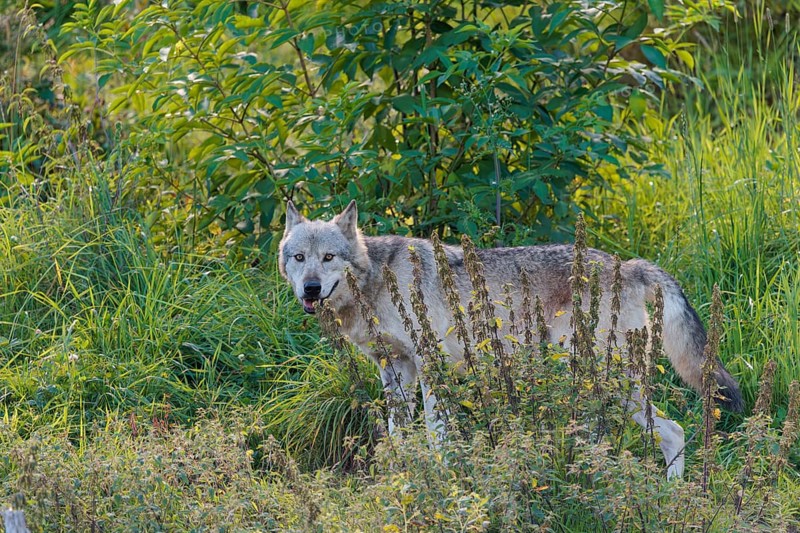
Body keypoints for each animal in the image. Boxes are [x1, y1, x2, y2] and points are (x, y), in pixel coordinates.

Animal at [279, 200, 743, 479]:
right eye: (299, 258)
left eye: (328, 257)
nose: (311, 289)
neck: (376, 281)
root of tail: (627, 265)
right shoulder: (395, 371)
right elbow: (397, 436)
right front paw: (401, 478)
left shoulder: (429, 366)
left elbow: (435, 434)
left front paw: (443, 478)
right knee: (668, 433)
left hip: (602, 380)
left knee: (673, 431)